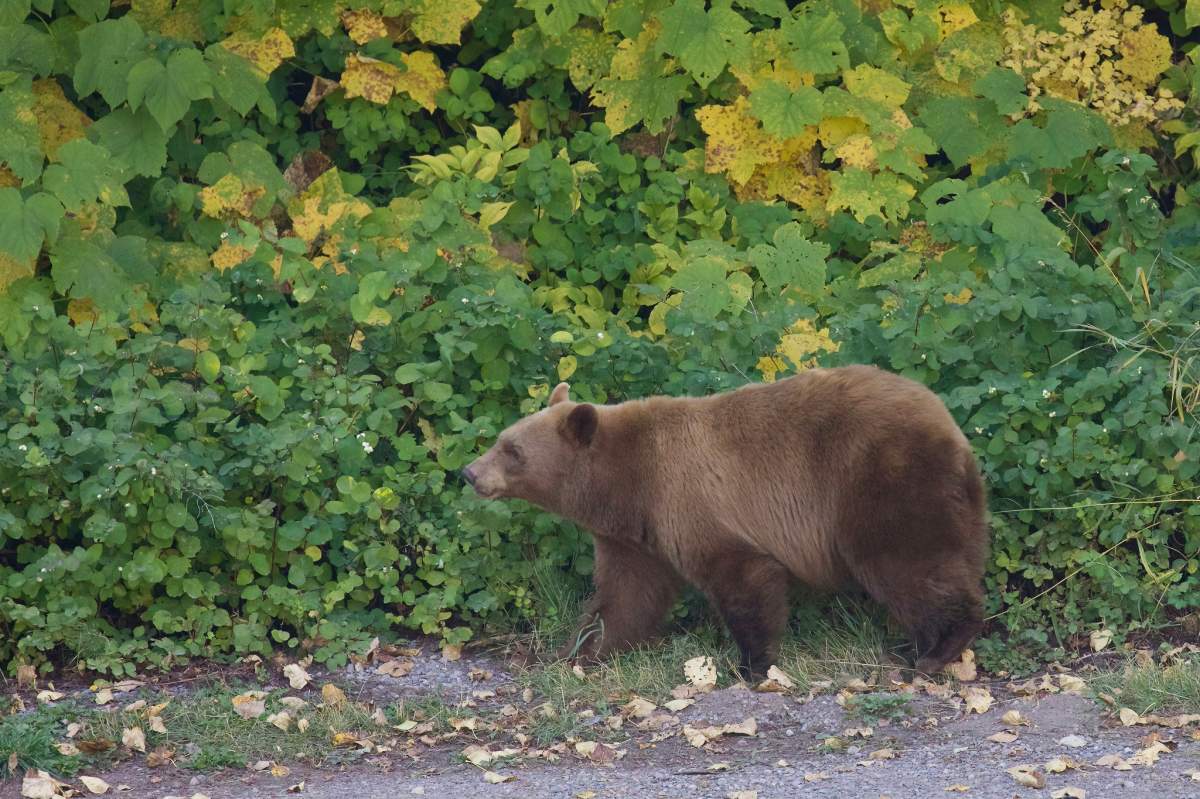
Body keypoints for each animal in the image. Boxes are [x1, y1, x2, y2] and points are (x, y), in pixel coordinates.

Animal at [463, 365, 989, 679]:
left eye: (512, 450)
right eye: (502, 439)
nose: (469, 472)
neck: (628, 480)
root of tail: (951, 429)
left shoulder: (691, 499)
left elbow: (742, 577)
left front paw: (750, 665)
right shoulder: (635, 538)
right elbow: (625, 596)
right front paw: (582, 651)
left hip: (882, 482)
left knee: (907, 566)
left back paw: (935, 650)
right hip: (950, 503)